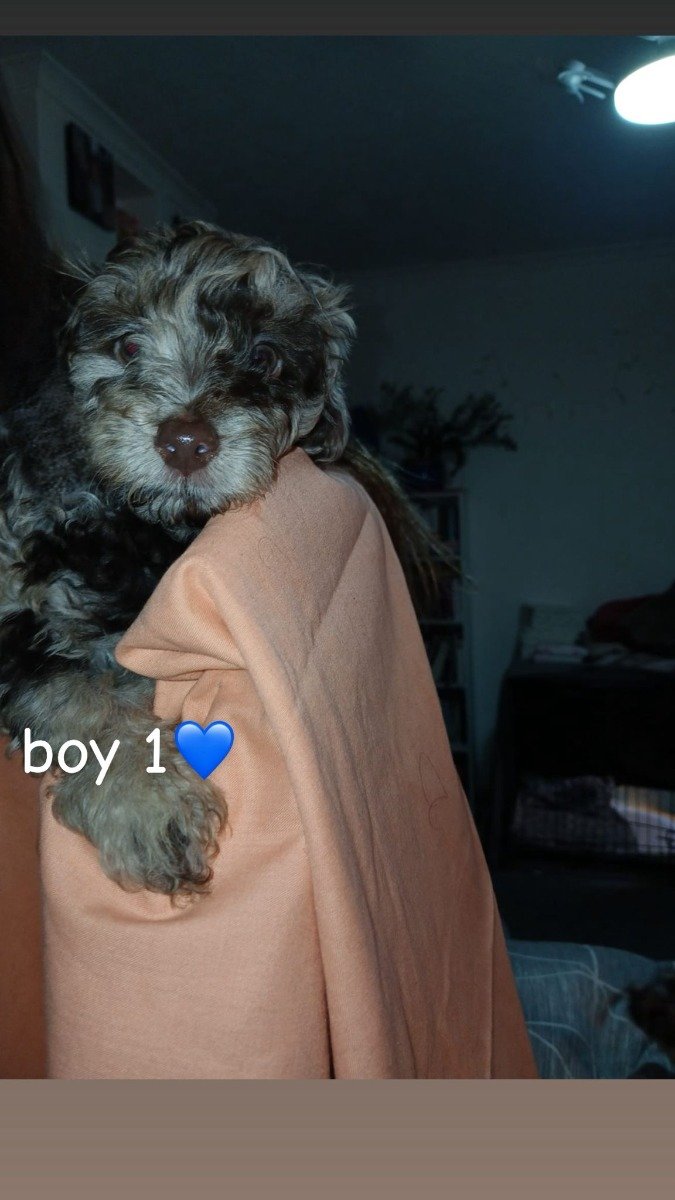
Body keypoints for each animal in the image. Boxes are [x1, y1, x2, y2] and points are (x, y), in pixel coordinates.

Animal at [0, 217, 446, 899]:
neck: (145, 530)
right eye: (128, 347)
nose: (185, 441)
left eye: (264, 357)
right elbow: (74, 689)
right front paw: (148, 798)